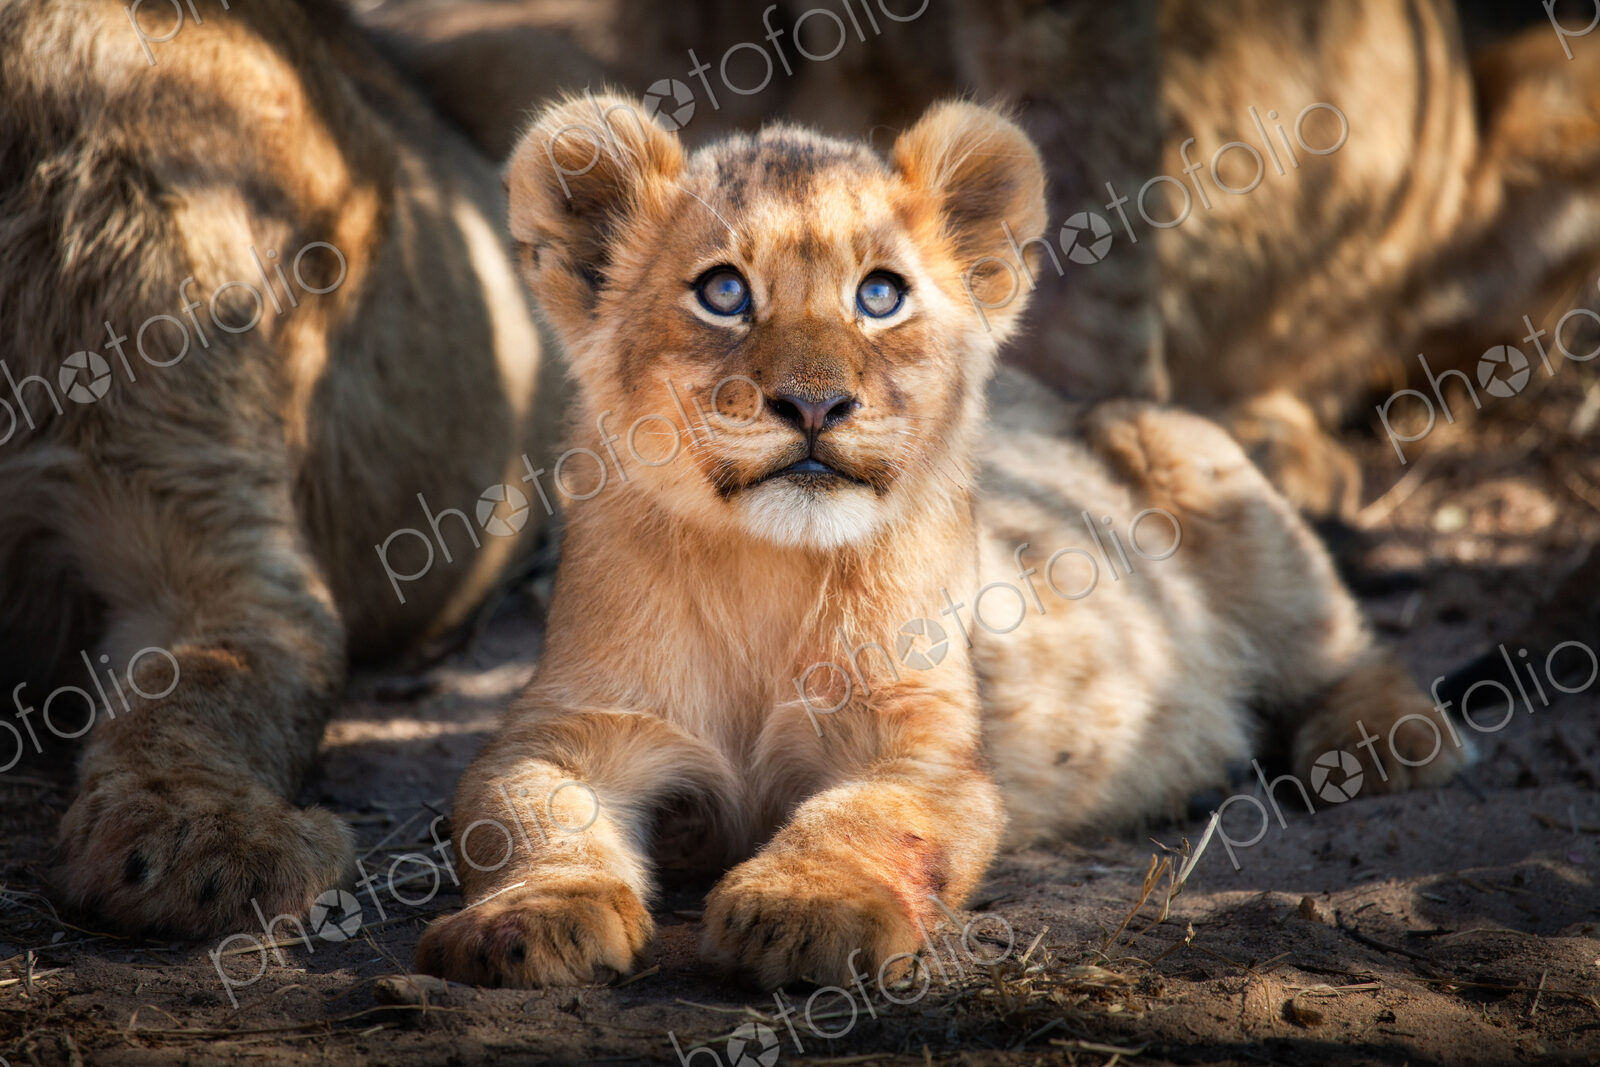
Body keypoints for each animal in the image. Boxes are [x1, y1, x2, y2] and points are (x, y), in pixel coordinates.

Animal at [413, 94, 1467, 990]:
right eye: (722, 291)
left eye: (881, 295)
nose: (815, 404)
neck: (764, 574)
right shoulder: (568, 726)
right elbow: (520, 817)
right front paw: (531, 919)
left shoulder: (926, 744)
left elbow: (865, 817)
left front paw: (807, 909)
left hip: (1201, 465)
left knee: (1342, 645)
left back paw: (1381, 744)